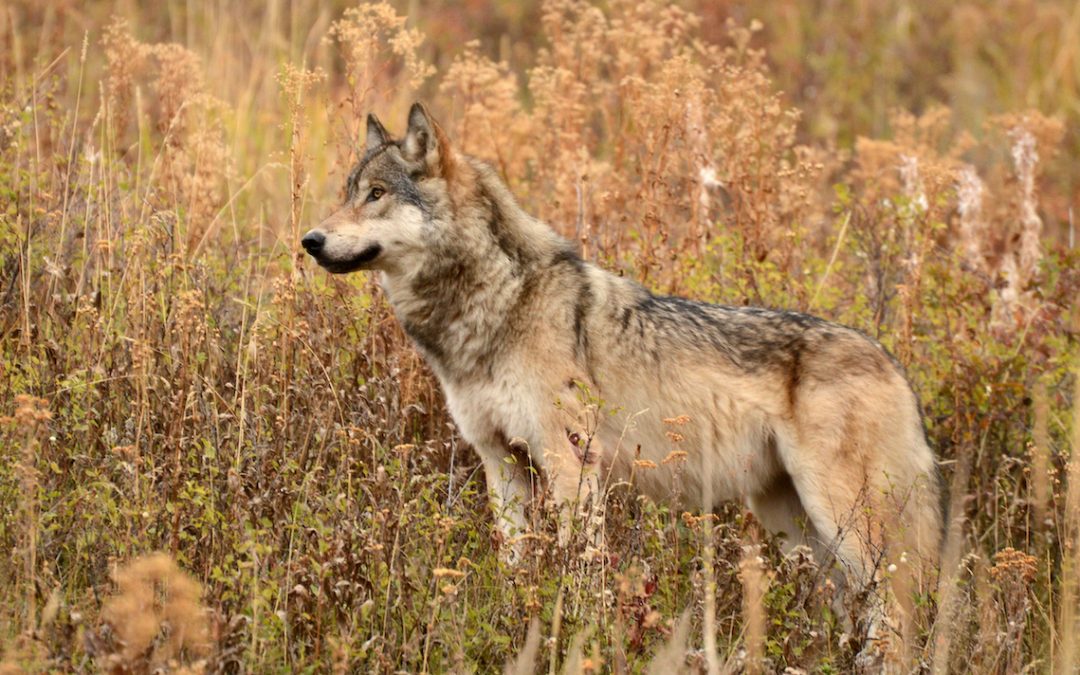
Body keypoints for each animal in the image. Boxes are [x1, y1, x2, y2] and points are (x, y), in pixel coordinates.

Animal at [302, 102, 943, 606]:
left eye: (377, 195)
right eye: (348, 194)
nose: (309, 240)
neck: (497, 302)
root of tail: (897, 368)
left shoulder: (569, 464)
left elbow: (579, 572)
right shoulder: (501, 465)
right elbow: (514, 566)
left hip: (848, 527)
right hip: (796, 529)